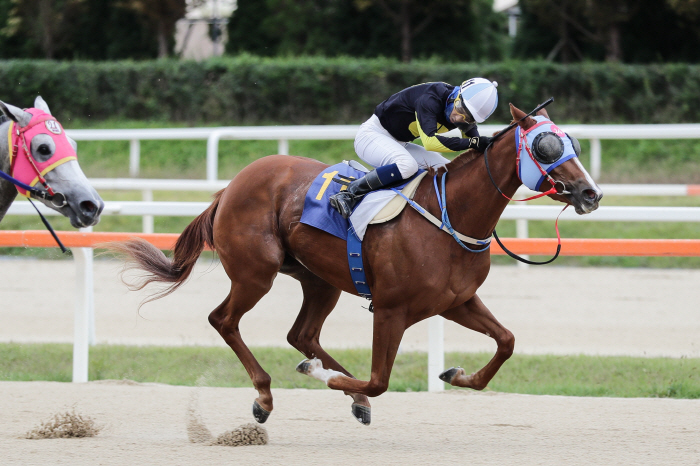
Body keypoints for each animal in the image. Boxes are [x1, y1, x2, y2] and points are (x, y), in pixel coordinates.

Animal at [109, 104, 600, 426]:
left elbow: (507, 342)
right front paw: (323, 378)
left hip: (318, 279)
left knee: (302, 334)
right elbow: (379, 379)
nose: (590, 193)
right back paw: (266, 395)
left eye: (573, 142)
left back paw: (339, 388)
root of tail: (230, 187)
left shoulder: (455, 301)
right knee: (224, 320)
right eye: (545, 144)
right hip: (255, 272)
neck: (450, 216)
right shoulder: (392, 310)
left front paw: (457, 373)